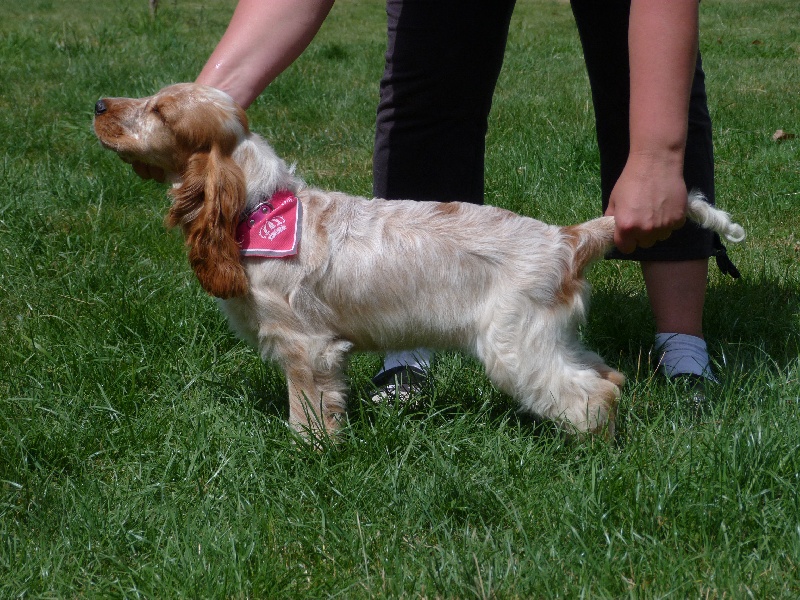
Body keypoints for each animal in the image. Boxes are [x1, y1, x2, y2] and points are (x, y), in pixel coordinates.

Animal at [95, 82, 752, 438]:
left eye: (160, 112)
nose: (99, 102)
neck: (258, 205)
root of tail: (569, 237)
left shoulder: (307, 348)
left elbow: (309, 417)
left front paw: (308, 455)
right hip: (549, 336)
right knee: (606, 375)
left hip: (514, 347)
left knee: (593, 397)